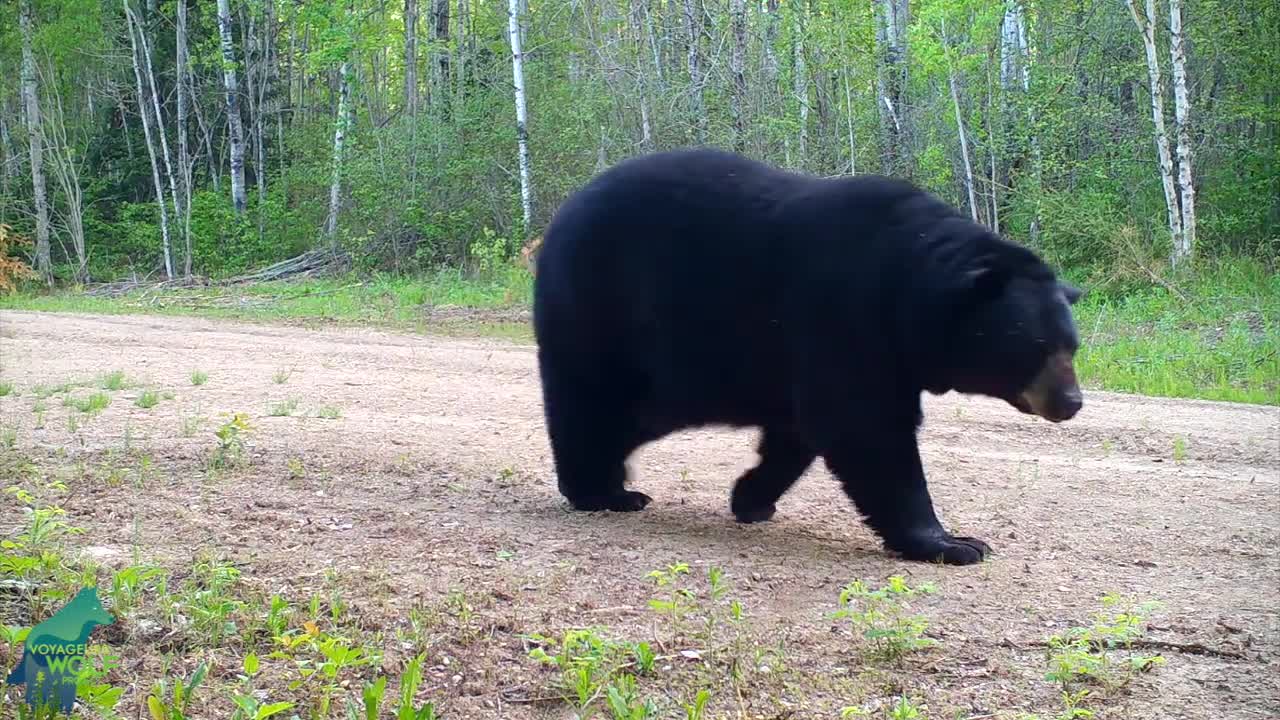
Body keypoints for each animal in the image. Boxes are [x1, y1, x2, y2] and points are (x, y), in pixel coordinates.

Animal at [529, 148, 1080, 563]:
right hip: (600, 314)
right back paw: (600, 491)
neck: (906, 290)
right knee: (592, 404)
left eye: (1072, 346)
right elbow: (868, 431)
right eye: (1037, 346)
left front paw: (751, 498)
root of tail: (557, 222)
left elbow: (798, 432)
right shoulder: (844, 317)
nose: (1073, 401)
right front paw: (952, 542)